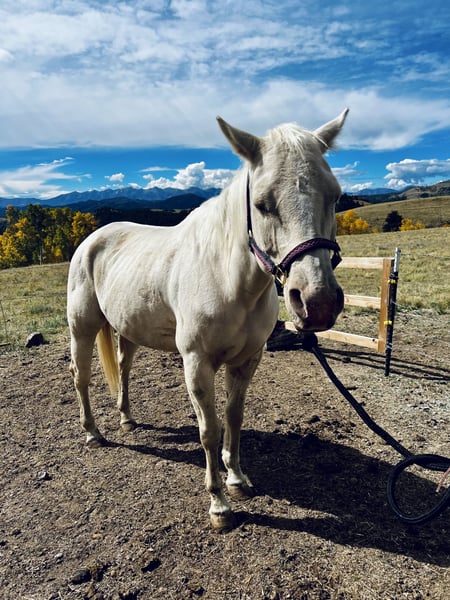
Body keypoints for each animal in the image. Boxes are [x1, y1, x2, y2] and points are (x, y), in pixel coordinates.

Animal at [67, 109, 348, 531]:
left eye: (335, 196)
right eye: (263, 204)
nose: (318, 302)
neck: (228, 278)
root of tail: (91, 240)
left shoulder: (247, 360)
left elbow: (233, 418)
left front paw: (237, 479)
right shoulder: (197, 364)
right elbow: (209, 430)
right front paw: (219, 504)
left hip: (128, 329)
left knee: (123, 367)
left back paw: (127, 419)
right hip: (82, 328)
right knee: (81, 376)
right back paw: (93, 433)